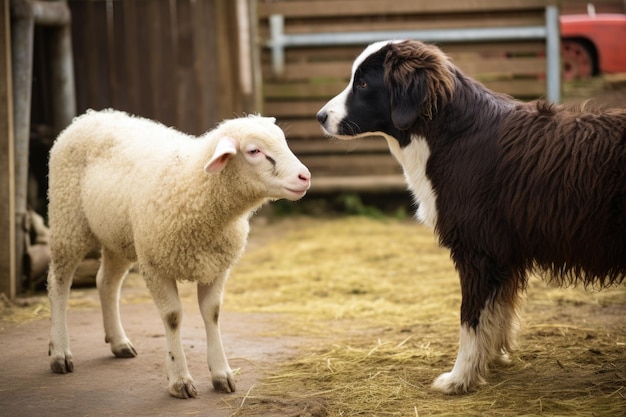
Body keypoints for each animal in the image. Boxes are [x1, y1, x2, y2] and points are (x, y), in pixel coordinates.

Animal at [45, 109, 310, 398]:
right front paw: (180, 379)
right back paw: (60, 352)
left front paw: (221, 373)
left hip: (120, 236)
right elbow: (172, 317)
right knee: (59, 283)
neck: (193, 184)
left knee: (106, 282)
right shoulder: (154, 265)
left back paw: (119, 342)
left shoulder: (216, 266)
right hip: (68, 221)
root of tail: (89, 116)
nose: (305, 176)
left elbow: (212, 313)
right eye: (254, 151)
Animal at [316, 39, 624, 394]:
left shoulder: (478, 251)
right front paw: (491, 359)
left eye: (364, 84)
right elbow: (497, 314)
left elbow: (471, 320)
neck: (449, 133)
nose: (319, 117)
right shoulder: (504, 256)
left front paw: (460, 377)